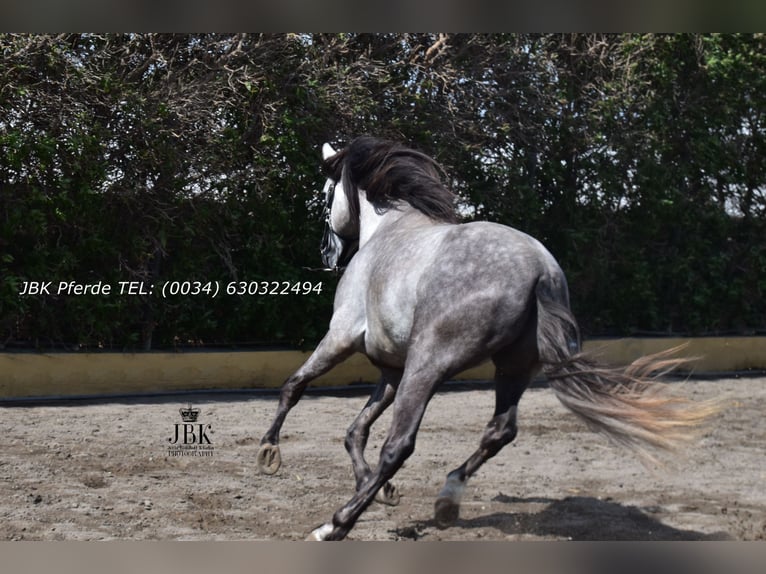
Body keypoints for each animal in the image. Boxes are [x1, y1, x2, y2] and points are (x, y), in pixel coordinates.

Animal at [256, 136, 718, 541]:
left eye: (325, 194)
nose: (327, 254)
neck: (389, 231)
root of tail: (540, 270)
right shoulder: (390, 368)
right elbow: (355, 430)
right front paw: (379, 489)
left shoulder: (342, 338)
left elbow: (296, 386)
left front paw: (268, 453)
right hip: (511, 369)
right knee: (499, 431)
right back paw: (446, 500)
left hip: (429, 365)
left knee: (400, 445)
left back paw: (335, 525)